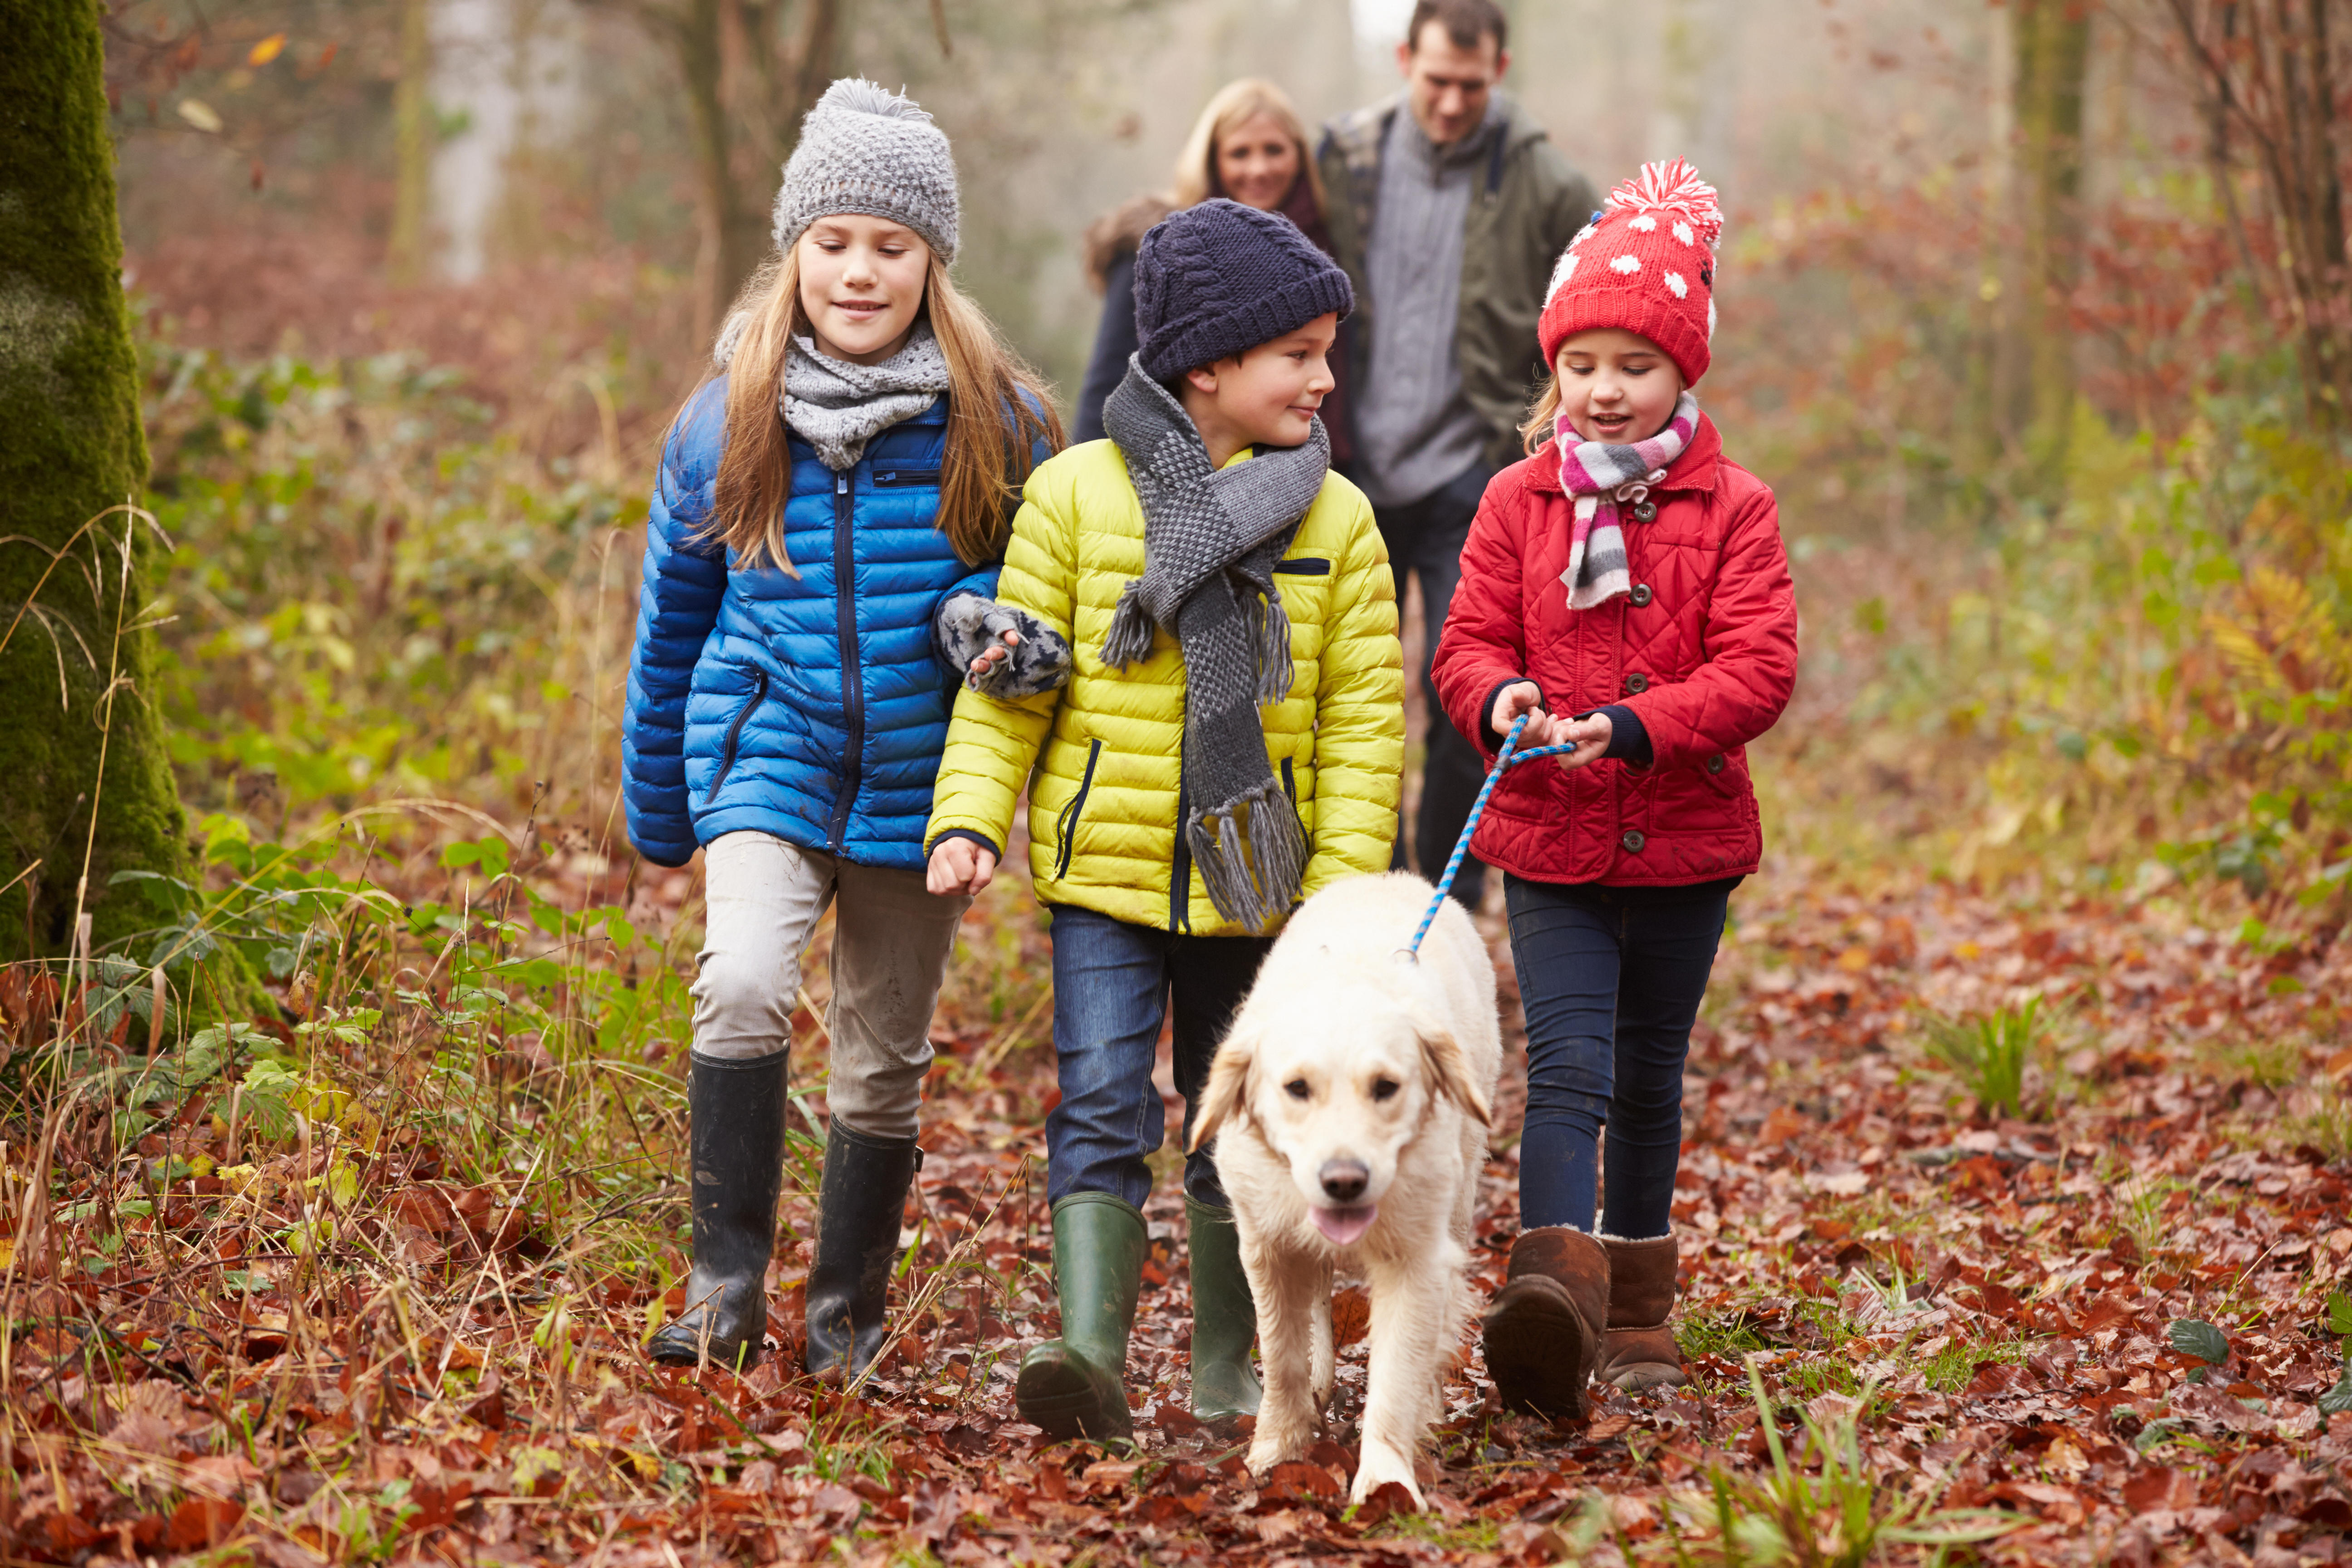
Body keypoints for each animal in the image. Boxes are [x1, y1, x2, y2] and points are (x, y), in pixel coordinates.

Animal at [1185, 870, 1496, 1504]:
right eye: (1297, 1088)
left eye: (1386, 1087)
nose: (1344, 1182)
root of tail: (1389, 876)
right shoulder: (1267, 1245)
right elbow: (1282, 1354)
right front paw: (1277, 1448)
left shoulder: (1418, 1258)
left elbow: (1396, 1373)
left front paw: (1384, 1483)